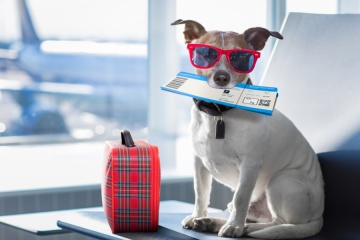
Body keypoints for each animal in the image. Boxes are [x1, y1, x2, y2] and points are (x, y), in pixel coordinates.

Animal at [170, 19, 324, 239]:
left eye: (240, 57)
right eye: (206, 53)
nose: (222, 77)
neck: (219, 113)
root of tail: (319, 216)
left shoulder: (249, 165)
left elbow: (241, 197)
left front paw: (234, 227)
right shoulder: (198, 162)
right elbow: (201, 193)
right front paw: (197, 215)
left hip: (281, 181)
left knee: (278, 223)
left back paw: (244, 228)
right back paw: (211, 222)